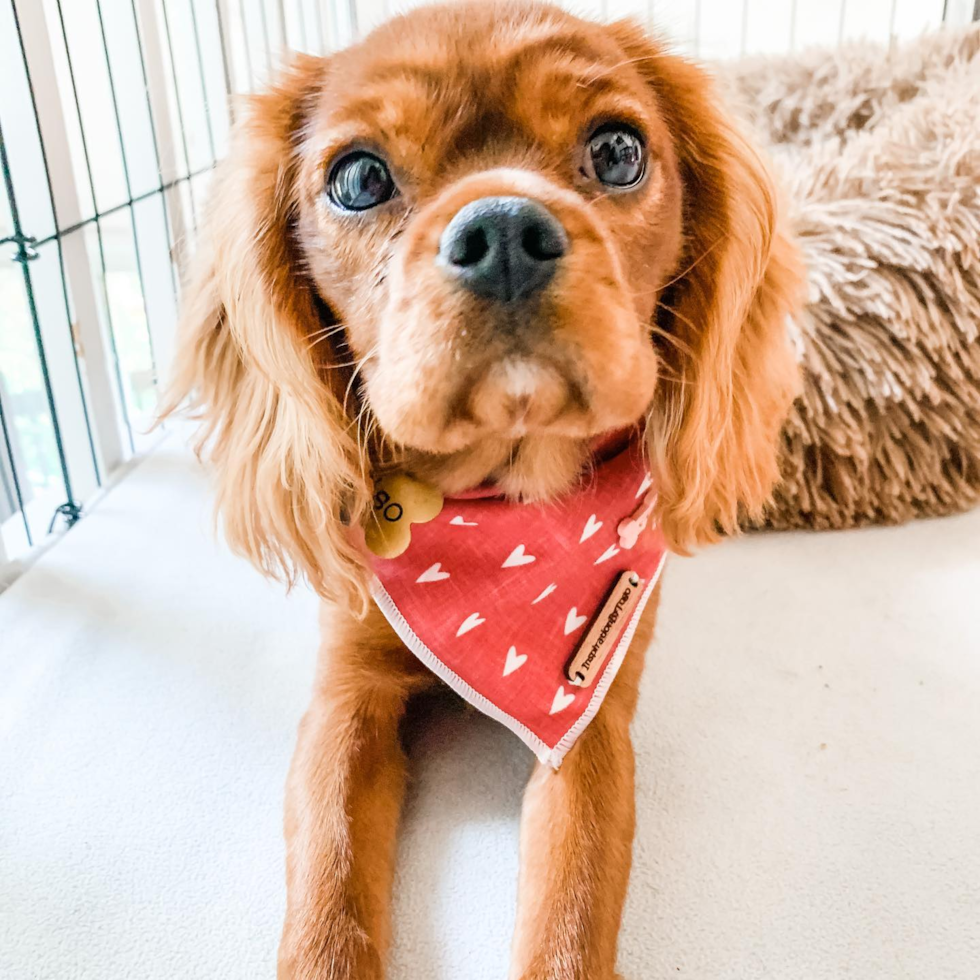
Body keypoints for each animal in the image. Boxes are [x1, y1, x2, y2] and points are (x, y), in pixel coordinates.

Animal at [163, 3, 804, 976]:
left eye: (618, 150)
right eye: (357, 177)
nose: (502, 231)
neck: (499, 505)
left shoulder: (588, 719)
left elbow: (570, 915)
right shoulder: (344, 701)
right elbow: (327, 885)